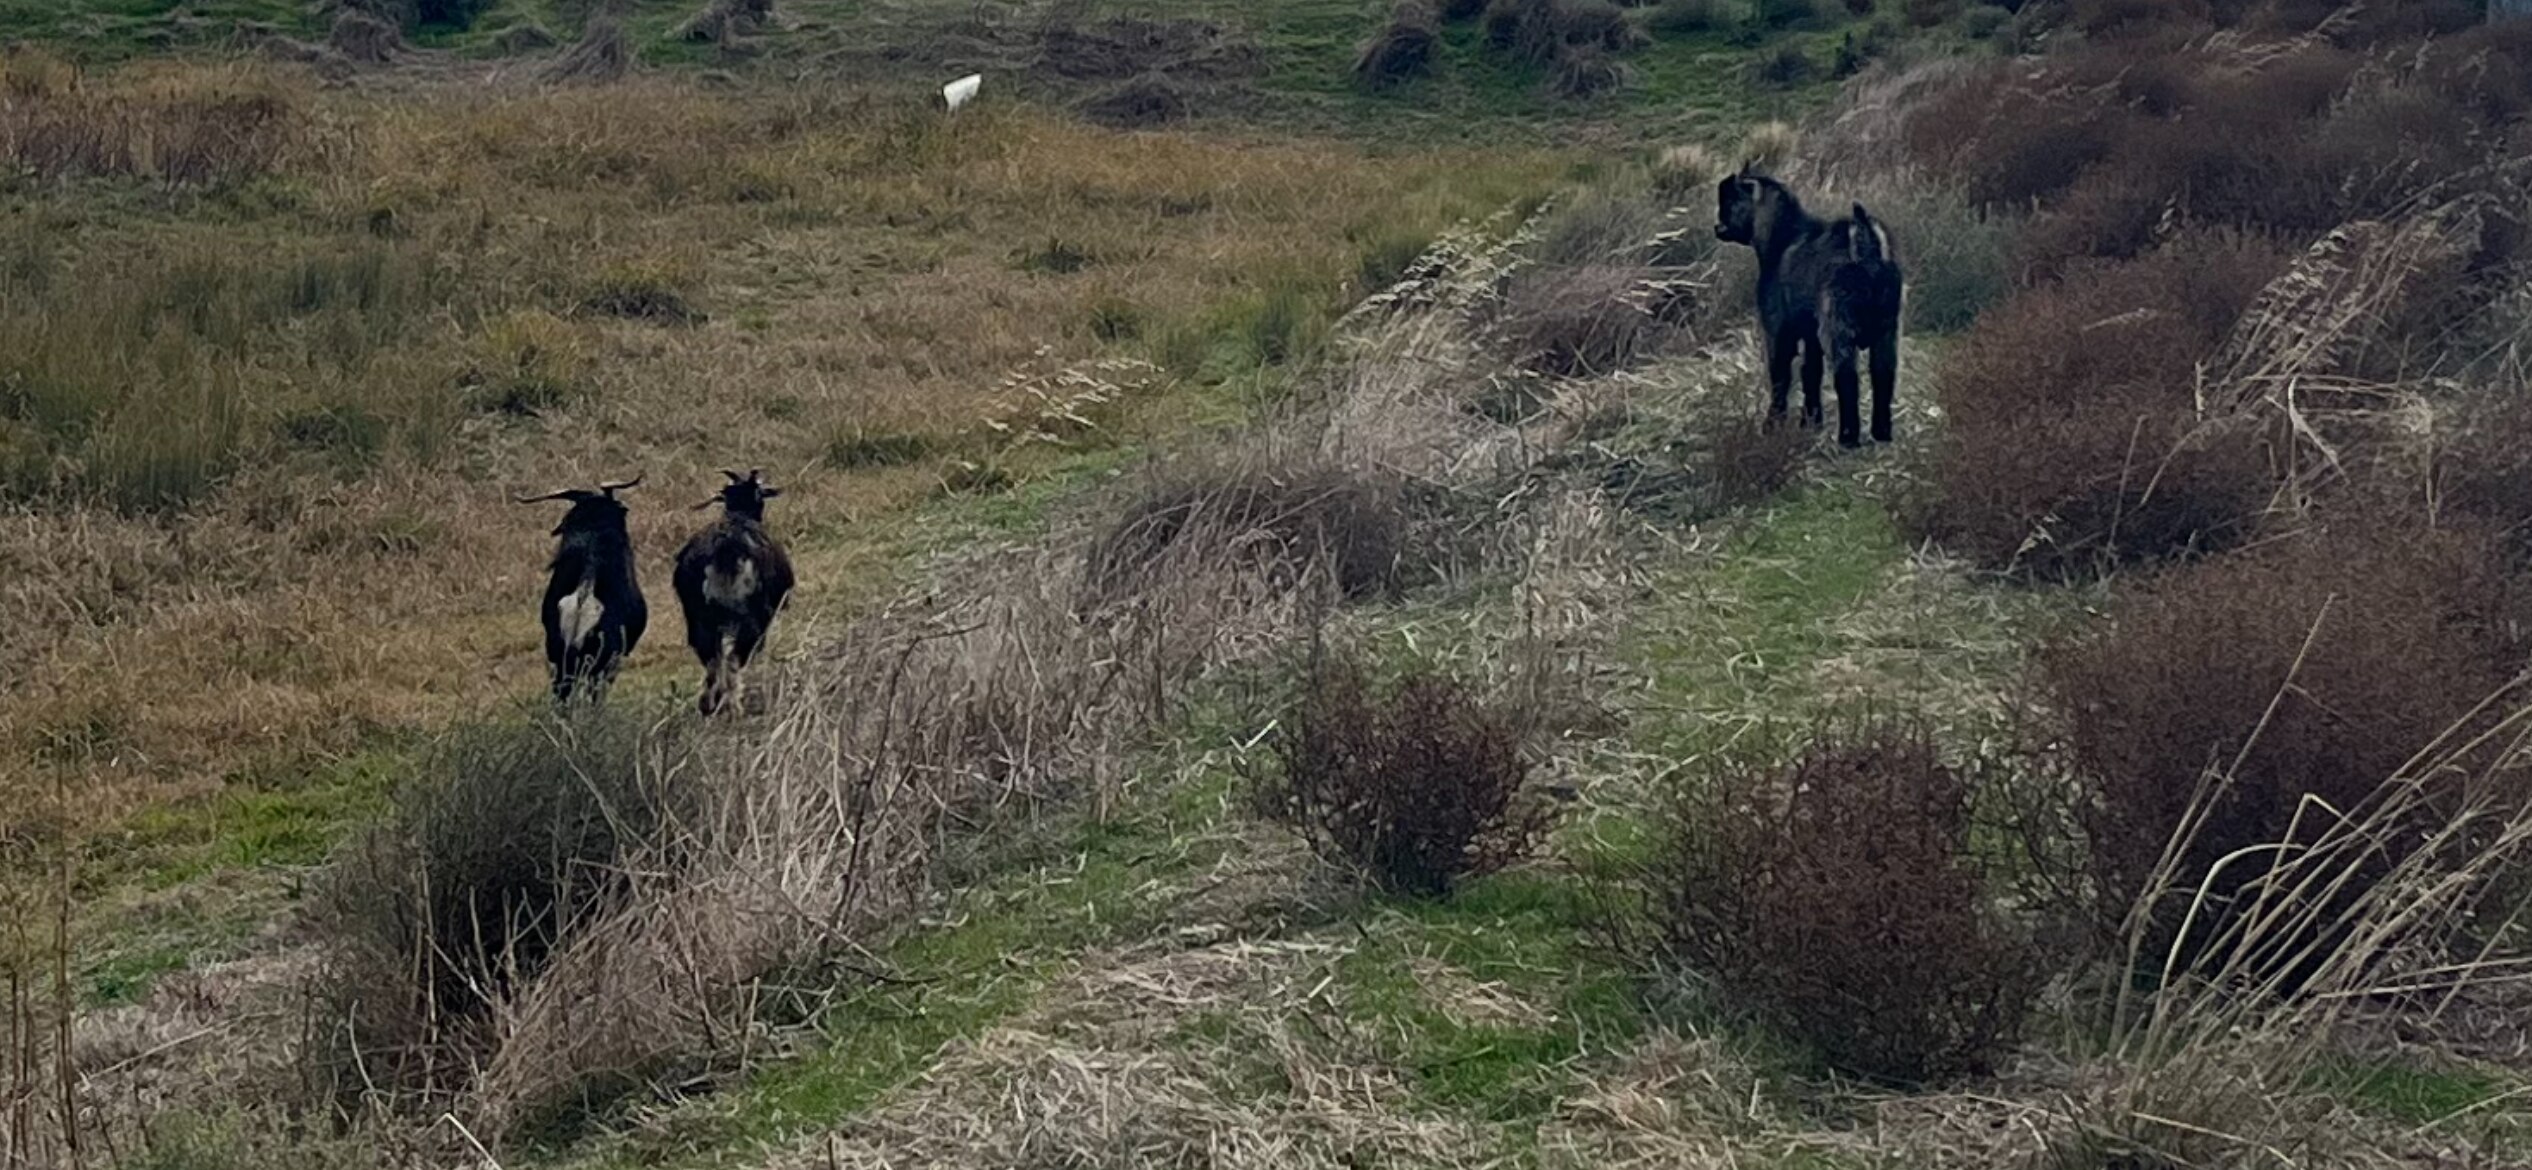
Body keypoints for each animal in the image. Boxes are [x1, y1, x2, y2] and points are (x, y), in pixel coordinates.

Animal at [673, 468, 795, 716]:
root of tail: (727, 549)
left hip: (699, 617)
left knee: (711, 658)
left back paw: (709, 704)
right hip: (752, 618)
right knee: (735, 657)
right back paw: (733, 706)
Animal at [1714, 164, 1906, 448]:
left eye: (1728, 201)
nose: (1718, 226)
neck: (1781, 237)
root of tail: (1867, 250)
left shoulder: (1778, 332)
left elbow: (1780, 375)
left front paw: (1772, 425)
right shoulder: (1810, 335)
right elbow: (1811, 373)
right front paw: (1811, 422)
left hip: (1838, 325)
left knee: (1846, 376)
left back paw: (1847, 437)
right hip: (1886, 328)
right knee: (1883, 373)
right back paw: (1881, 433)